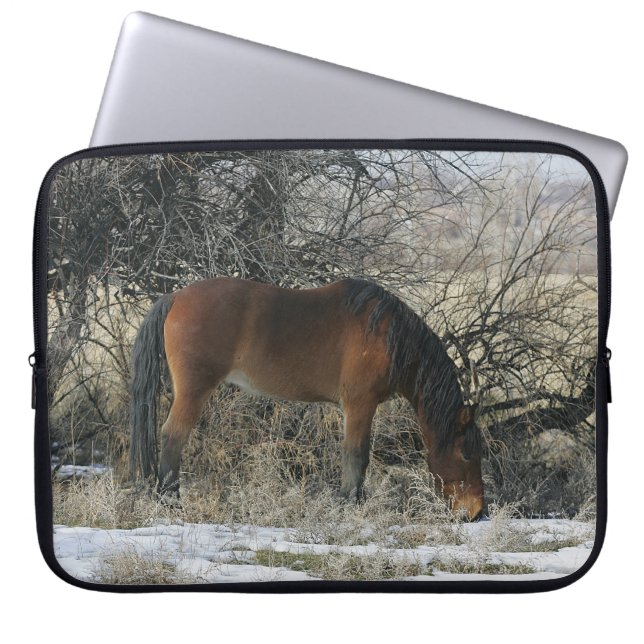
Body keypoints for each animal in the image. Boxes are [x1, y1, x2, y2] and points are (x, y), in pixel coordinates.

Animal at [129, 277, 485, 520]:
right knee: (173, 436)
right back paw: (170, 501)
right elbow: (356, 456)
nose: (476, 512)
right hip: (194, 391)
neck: (387, 335)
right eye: (466, 453)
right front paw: (350, 505)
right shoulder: (360, 405)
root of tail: (176, 297)